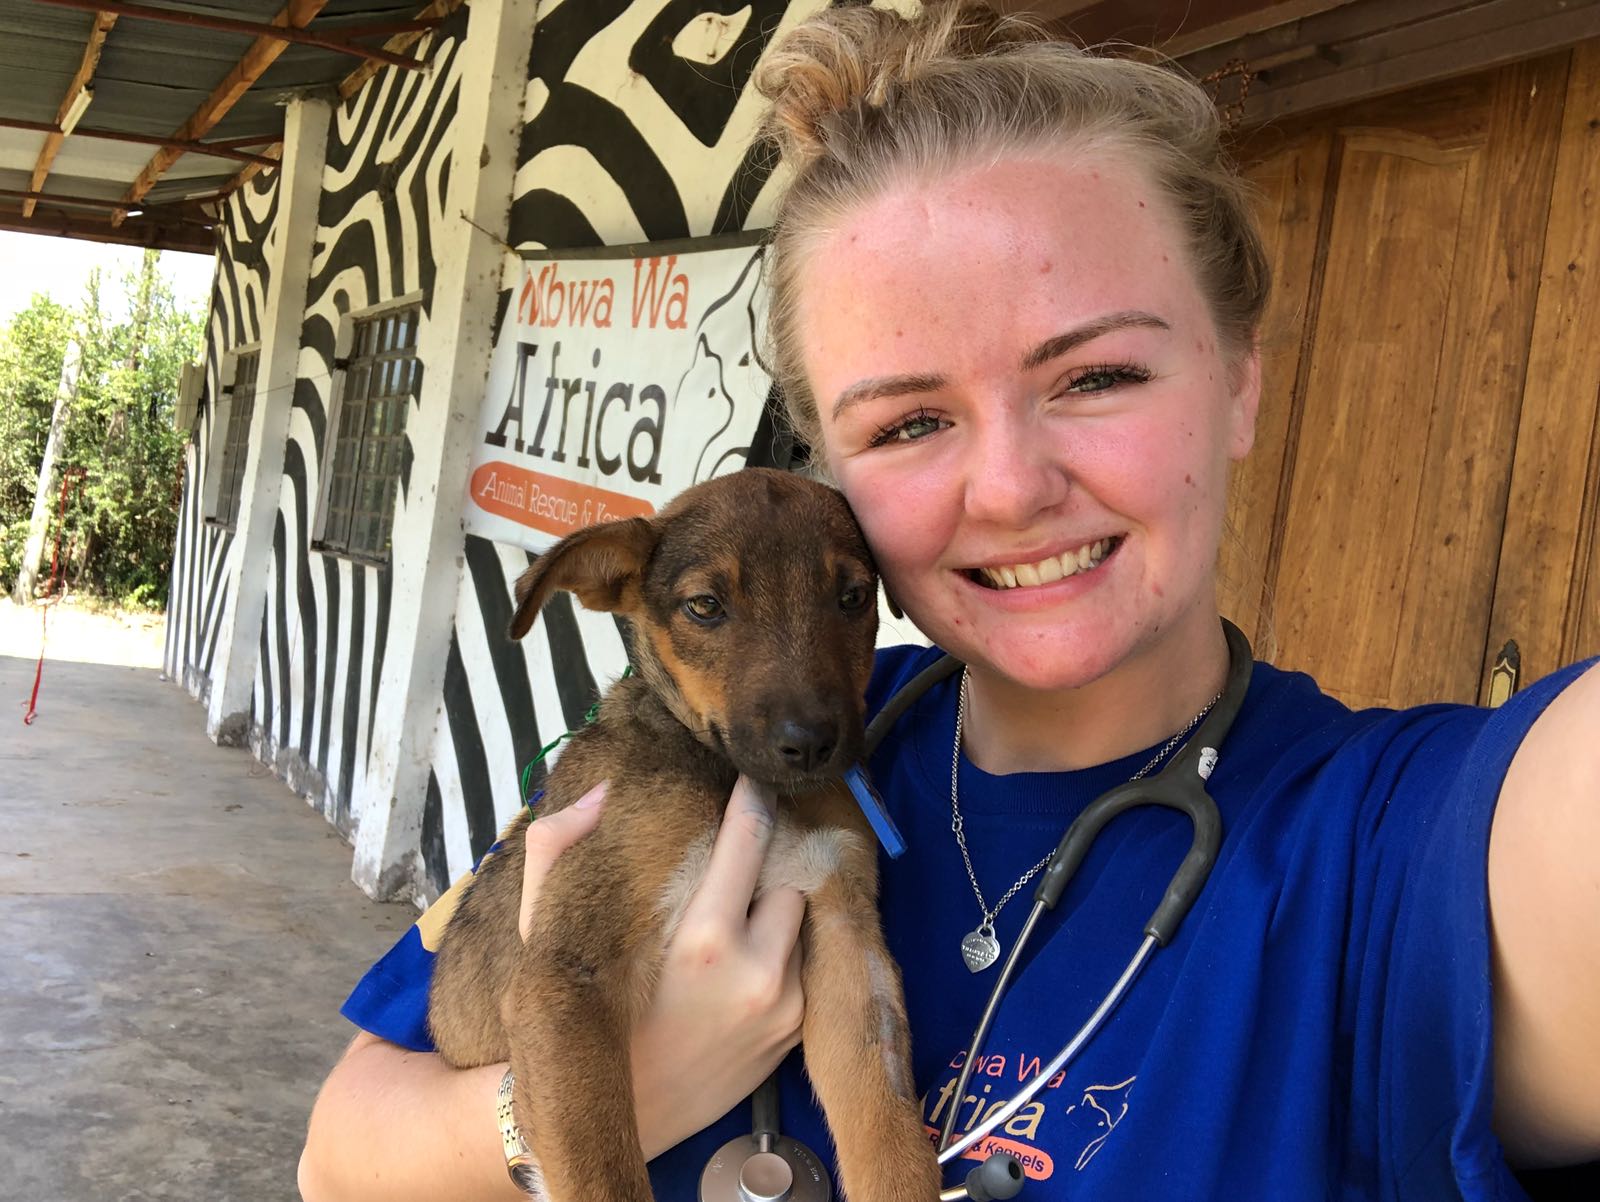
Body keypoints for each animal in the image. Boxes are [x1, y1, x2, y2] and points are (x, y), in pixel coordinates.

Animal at [432, 470, 940, 1202]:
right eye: (704, 606)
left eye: (851, 598)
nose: (811, 744)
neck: (741, 784)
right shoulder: (569, 972)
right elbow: (602, 1175)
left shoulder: (847, 939)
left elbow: (887, 1132)